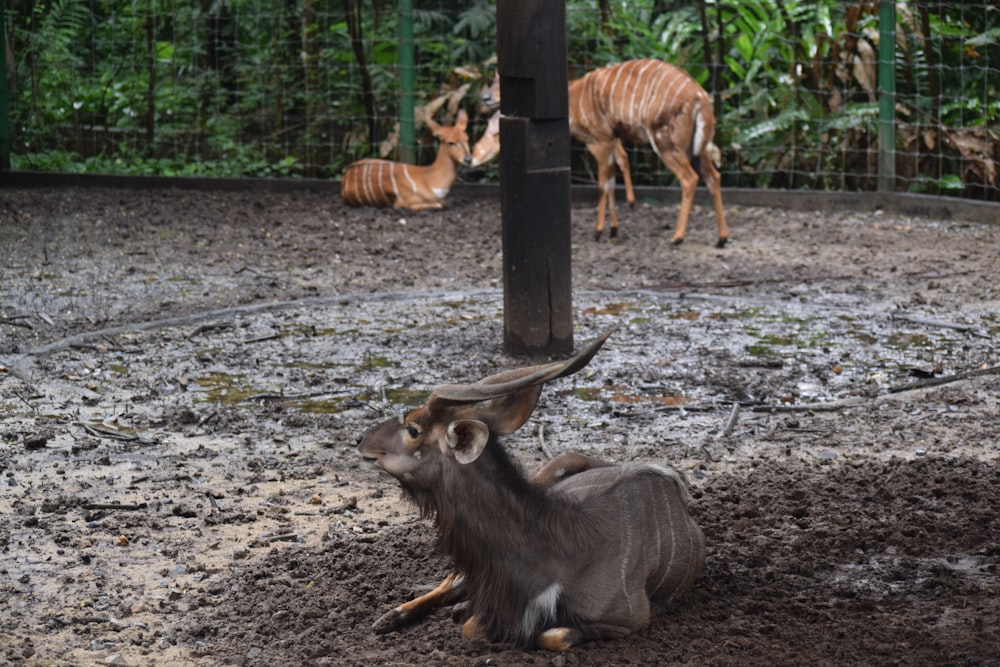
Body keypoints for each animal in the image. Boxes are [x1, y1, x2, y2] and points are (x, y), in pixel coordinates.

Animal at [340, 109, 472, 210]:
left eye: (467, 139)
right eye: (451, 142)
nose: (468, 159)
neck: (428, 179)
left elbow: (442, 202)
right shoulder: (402, 202)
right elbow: (438, 204)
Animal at [358, 334, 704, 652]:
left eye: (413, 429)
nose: (360, 439)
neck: (556, 551)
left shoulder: (630, 619)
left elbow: (548, 635)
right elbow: (473, 625)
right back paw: (388, 617)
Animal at [572, 58, 728, 247]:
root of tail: (701, 97)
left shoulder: (600, 141)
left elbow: (603, 185)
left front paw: (598, 231)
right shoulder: (610, 141)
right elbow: (611, 181)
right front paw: (614, 229)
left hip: (666, 143)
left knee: (690, 178)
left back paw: (677, 237)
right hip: (697, 150)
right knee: (713, 176)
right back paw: (721, 239)